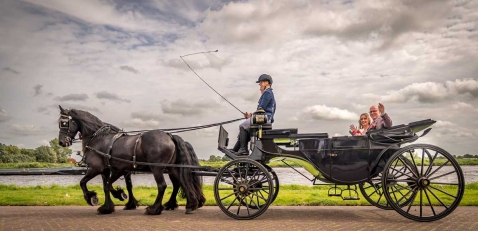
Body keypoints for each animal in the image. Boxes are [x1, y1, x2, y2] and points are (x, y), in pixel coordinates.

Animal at [57, 105, 204, 214]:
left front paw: (92, 198)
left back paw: (154, 209)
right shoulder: (110, 170)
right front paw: (112, 204)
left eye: (64, 123)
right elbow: (109, 186)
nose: (61, 142)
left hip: (157, 168)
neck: (98, 138)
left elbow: (84, 182)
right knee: (183, 181)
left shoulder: (96, 168)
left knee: (163, 185)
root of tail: (169, 135)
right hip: (173, 168)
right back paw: (190, 205)